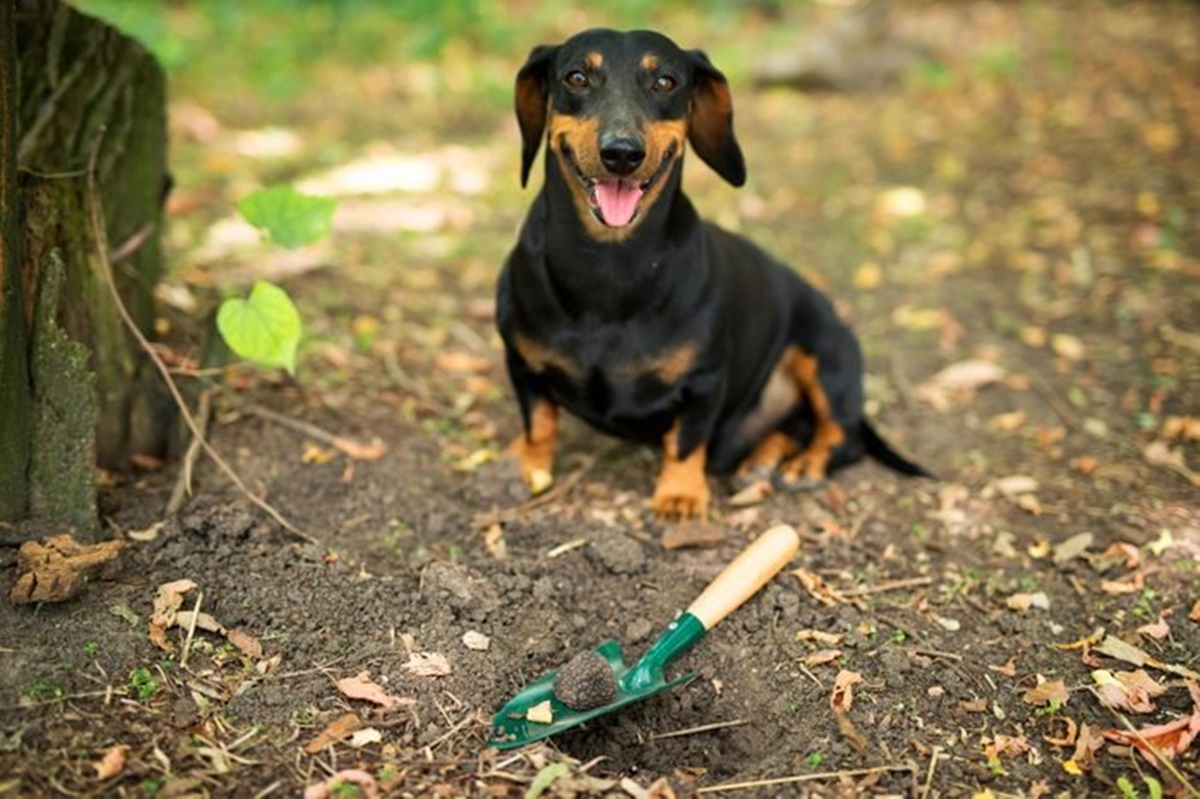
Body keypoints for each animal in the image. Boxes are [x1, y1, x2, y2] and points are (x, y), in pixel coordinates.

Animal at [494, 29, 926, 515]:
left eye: (665, 82)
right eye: (577, 77)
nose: (621, 154)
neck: (610, 268)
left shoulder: (704, 383)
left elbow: (685, 441)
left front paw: (680, 494)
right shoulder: (522, 363)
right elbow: (539, 424)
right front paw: (529, 466)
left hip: (826, 356)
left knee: (841, 436)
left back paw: (804, 466)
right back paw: (761, 461)